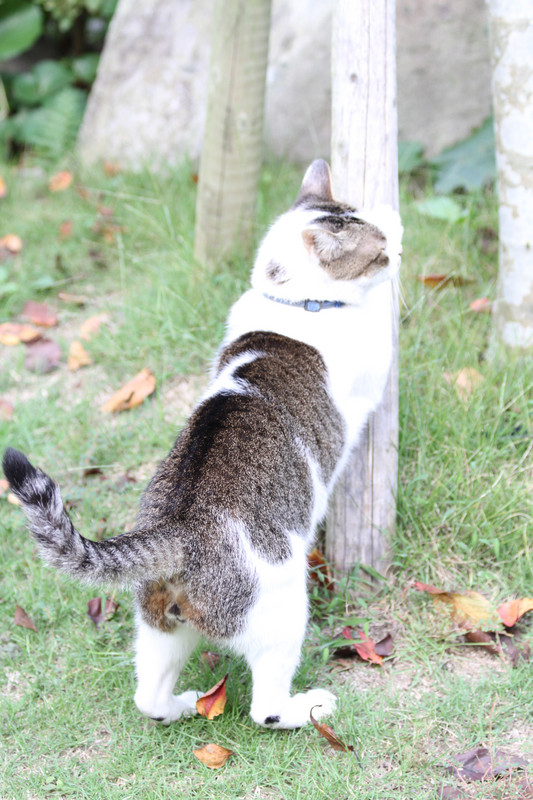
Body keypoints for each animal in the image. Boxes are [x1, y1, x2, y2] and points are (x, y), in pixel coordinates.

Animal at [2, 158, 402, 732]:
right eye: (381, 254)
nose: (398, 254)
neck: (292, 302)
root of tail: (178, 531)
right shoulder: (373, 364)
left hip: (158, 626)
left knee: (147, 695)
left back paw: (184, 704)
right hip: (282, 608)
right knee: (265, 709)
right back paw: (308, 706)